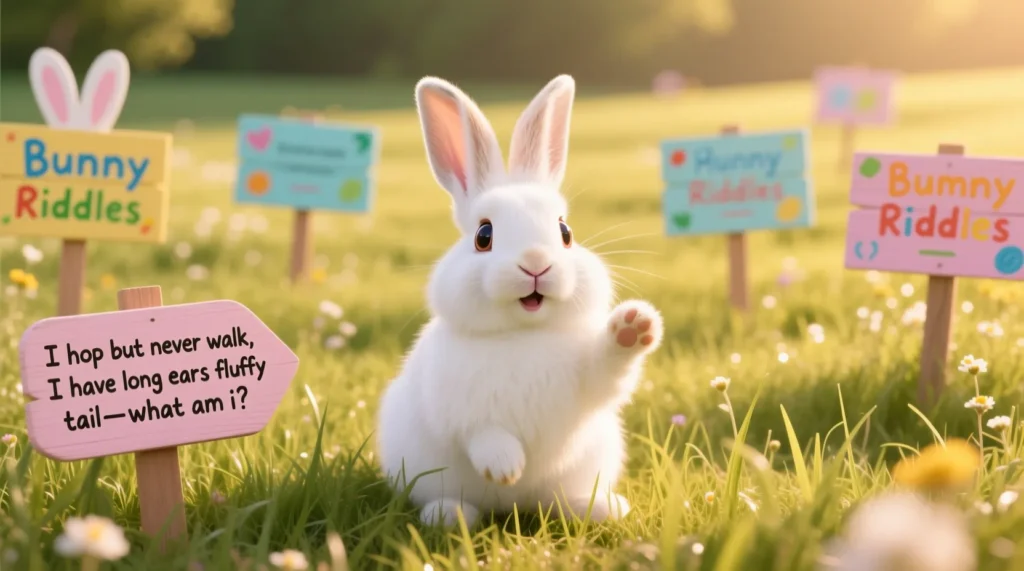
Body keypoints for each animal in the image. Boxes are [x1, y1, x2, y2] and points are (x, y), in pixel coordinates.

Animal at [376, 74, 665, 528]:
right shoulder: (456, 409)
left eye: (565, 232)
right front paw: (505, 466)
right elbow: (482, 434)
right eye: (484, 235)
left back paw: (601, 508)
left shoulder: (592, 381)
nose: (535, 263)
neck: (524, 334)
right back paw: (449, 515)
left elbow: (608, 369)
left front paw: (634, 326)